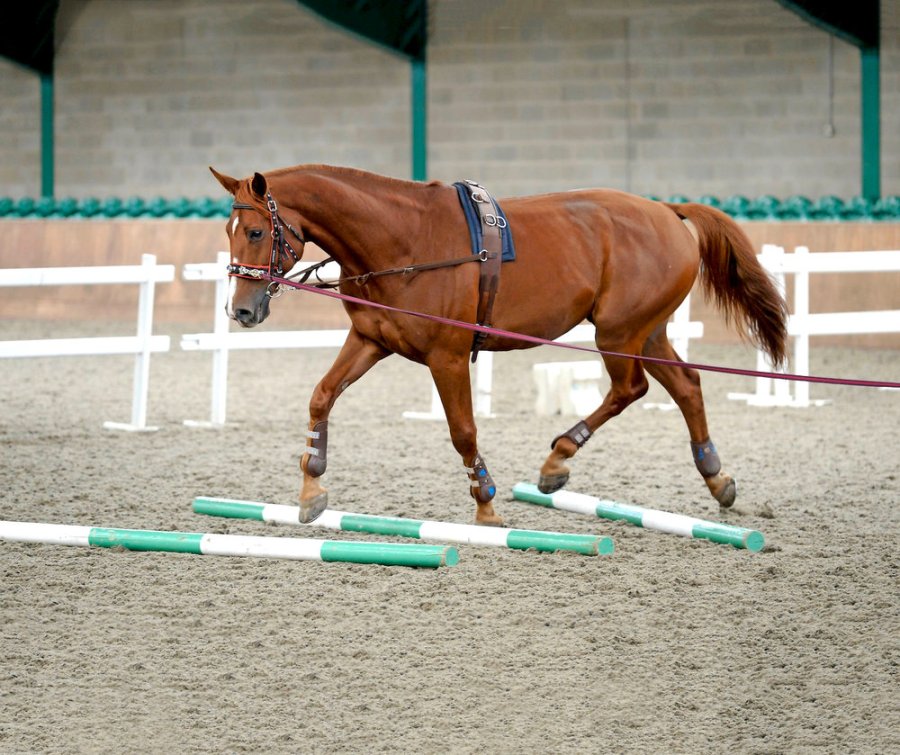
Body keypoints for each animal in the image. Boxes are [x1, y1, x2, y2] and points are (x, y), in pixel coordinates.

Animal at [211, 165, 788, 524]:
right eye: (229, 229)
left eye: (257, 232)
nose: (241, 310)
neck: (404, 238)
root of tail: (666, 211)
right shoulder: (371, 340)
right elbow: (321, 396)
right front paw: (312, 489)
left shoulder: (446, 357)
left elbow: (463, 431)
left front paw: (486, 503)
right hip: (647, 331)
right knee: (686, 386)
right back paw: (716, 477)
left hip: (619, 333)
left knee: (632, 389)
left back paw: (558, 459)